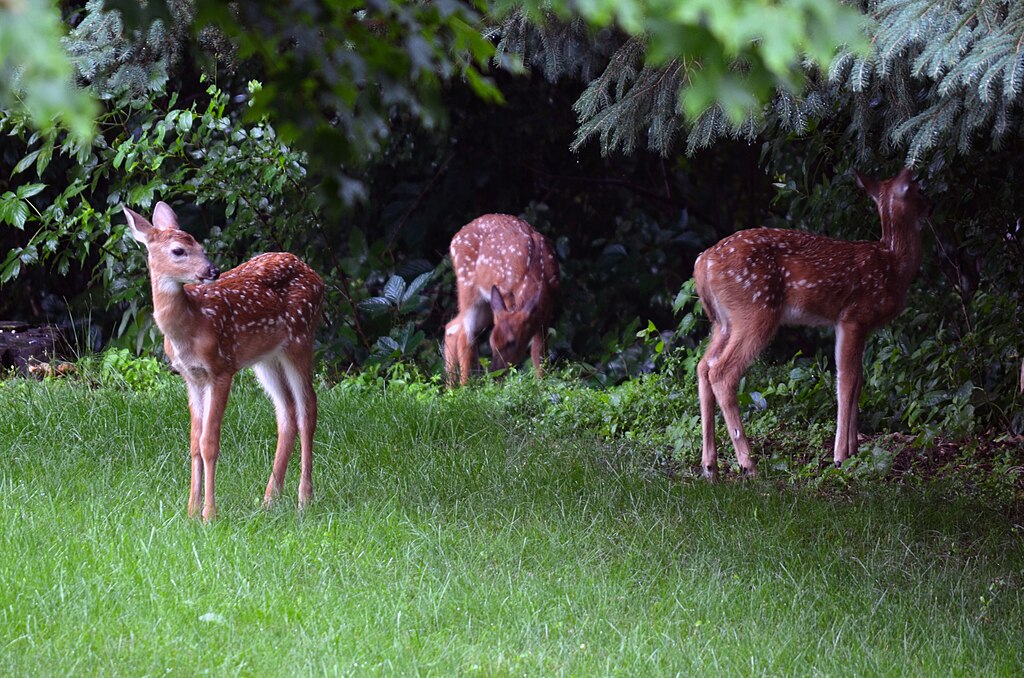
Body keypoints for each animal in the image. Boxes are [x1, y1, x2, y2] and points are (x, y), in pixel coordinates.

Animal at [124, 201, 324, 520]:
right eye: (179, 250)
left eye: (202, 247)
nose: (212, 270)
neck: (191, 325)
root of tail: (315, 275)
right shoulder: (191, 377)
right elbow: (194, 441)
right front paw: (191, 511)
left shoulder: (221, 368)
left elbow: (209, 442)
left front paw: (209, 514)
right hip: (266, 359)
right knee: (287, 412)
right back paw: (269, 500)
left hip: (301, 338)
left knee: (308, 408)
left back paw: (304, 499)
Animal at [444, 214, 559, 387]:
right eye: (492, 343)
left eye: (512, 342)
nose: (495, 374)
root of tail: (454, 239)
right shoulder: (507, 294)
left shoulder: (547, 310)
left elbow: (539, 353)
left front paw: (542, 385)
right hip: (467, 286)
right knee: (465, 332)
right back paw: (464, 386)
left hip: (486, 304)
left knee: (452, 327)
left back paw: (451, 387)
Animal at [693, 168, 930, 481]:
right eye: (918, 189)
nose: (931, 205)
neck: (893, 264)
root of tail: (701, 264)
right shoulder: (853, 316)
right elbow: (847, 380)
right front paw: (840, 456)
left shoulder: (856, 325)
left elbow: (858, 380)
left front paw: (854, 449)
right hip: (755, 311)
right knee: (722, 372)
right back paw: (749, 465)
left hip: (723, 322)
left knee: (703, 365)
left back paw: (710, 466)